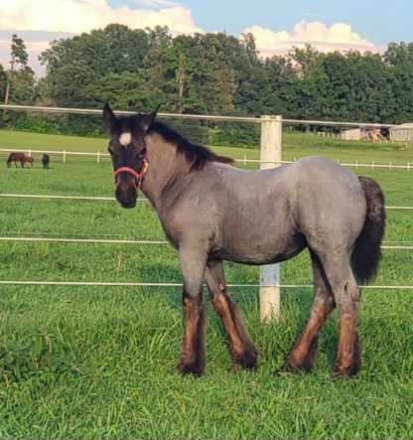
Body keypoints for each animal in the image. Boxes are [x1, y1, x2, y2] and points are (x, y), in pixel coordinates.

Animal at [101, 105, 384, 380]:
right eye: (111, 149)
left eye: (141, 149)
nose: (125, 195)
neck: (185, 184)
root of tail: (356, 180)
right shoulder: (212, 256)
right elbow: (221, 300)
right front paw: (244, 359)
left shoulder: (191, 250)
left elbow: (191, 300)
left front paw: (189, 366)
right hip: (317, 252)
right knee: (323, 298)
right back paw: (292, 365)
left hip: (331, 252)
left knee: (346, 295)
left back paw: (343, 369)